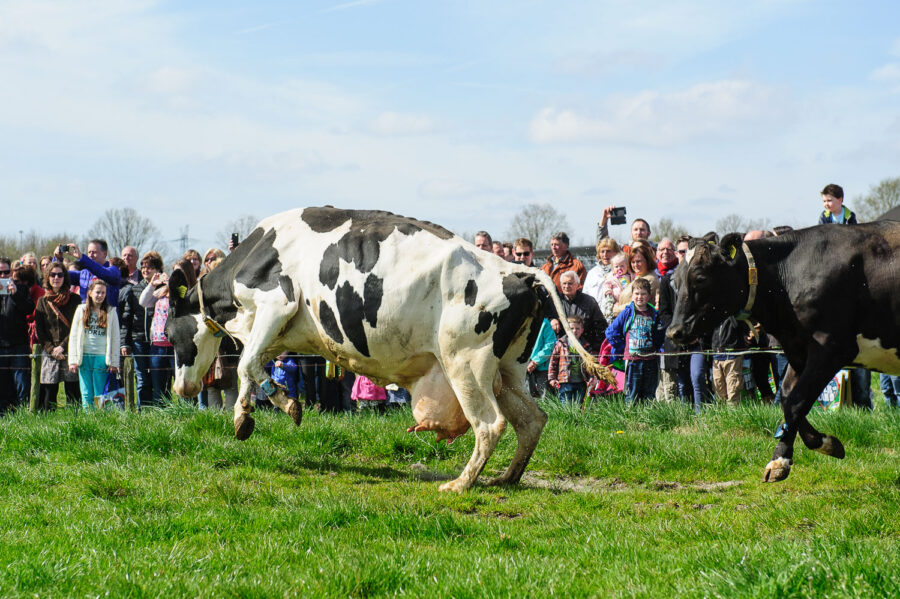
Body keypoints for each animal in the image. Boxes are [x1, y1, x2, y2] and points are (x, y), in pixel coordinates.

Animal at [163, 206, 612, 492]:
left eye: (168, 331)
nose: (179, 389)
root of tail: (520, 270)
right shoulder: (271, 328)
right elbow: (252, 366)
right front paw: (248, 415)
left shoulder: (277, 304)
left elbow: (246, 366)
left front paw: (284, 405)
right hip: (509, 370)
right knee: (531, 420)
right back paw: (506, 478)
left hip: (465, 363)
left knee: (490, 424)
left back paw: (461, 483)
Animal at [668, 224, 900, 482]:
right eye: (675, 280)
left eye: (700, 278)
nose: (674, 331)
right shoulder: (798, 350)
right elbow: (788, 397)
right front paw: (825, 443)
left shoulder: (831, 348)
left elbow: (796, 401)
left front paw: (780, 460)